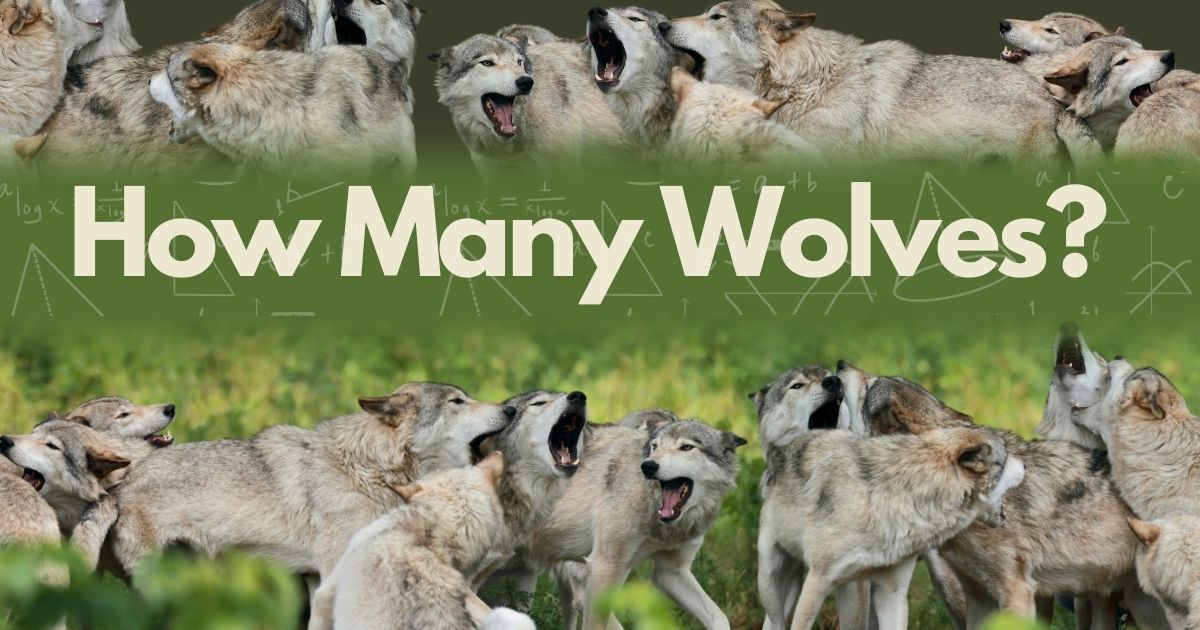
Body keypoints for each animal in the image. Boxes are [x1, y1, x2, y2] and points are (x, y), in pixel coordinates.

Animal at [531, 416, 746, 630]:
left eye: (686, 447)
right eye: (654, 446)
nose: (648, 466)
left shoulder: (671, 572)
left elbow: (720, 618)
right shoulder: (602, 568)